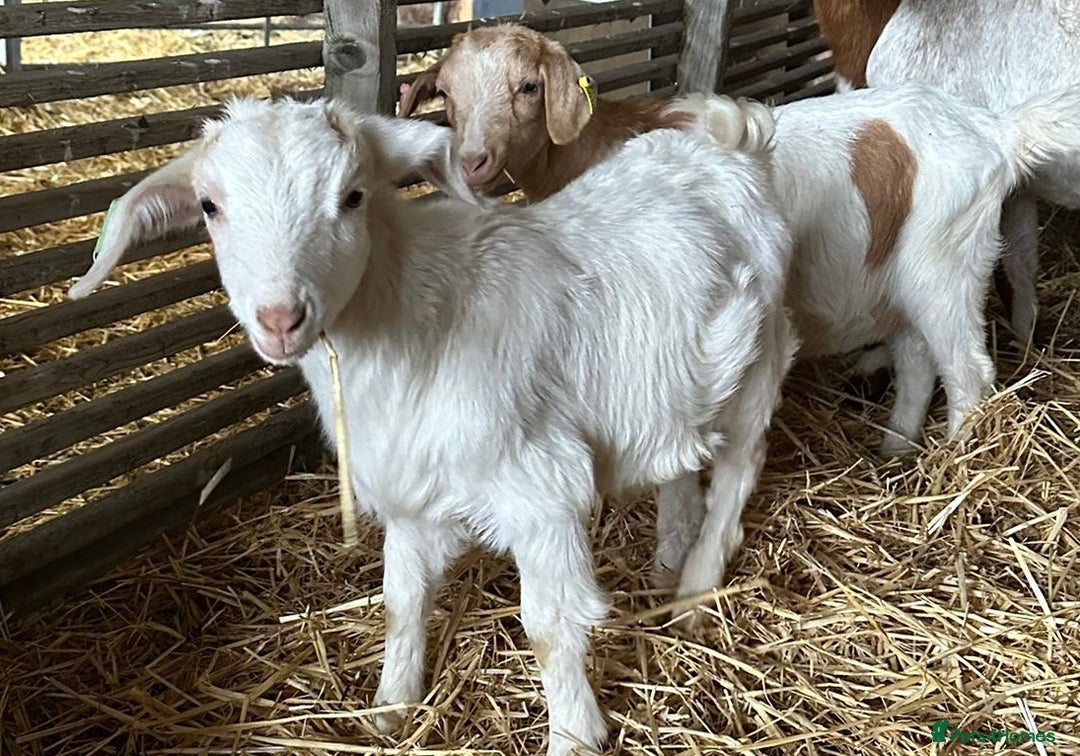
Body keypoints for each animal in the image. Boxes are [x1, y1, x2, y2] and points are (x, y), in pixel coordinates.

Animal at [69, 97, 795, 756]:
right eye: (210, 206)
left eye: (352, 196)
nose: (279, 318)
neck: (414, 317)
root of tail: (731, 140)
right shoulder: (410, 494)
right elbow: (402, 601)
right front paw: (391, 706)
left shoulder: (542, 489)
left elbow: (548, 627)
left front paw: (574, 736)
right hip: (677, 386)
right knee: (681, 461)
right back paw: (669, 560)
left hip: (759, 365)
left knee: (738, 472)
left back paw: (695, 592)